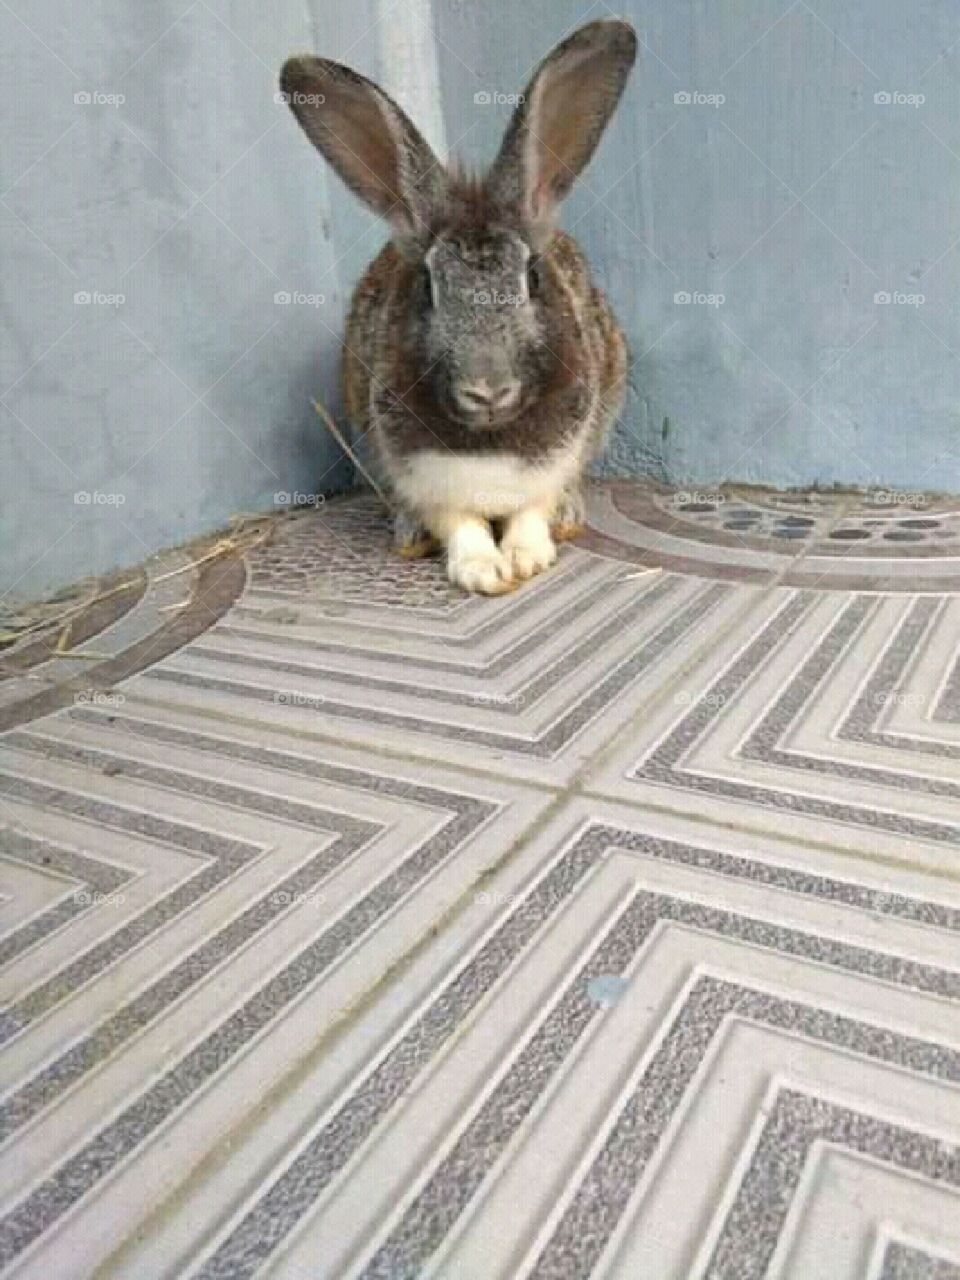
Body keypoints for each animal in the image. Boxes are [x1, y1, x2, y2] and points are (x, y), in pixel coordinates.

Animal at [281, 19, 637, 594]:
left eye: (532, 277)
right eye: (427, 285)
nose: (487, 391)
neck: (488, 438)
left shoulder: (553, 463)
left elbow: (530, 511)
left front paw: (526, 558)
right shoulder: (424, 479)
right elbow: (459, 523)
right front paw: (482, 571)